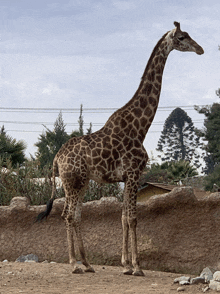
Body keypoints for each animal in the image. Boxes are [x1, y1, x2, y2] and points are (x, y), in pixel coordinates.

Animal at [37, 22, 204, 276]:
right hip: (73, 181)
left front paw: (125, 264)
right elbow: (133, 218)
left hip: (78, 182)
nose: (200, 49)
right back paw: (74, 264)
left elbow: (124, 217)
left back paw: (87, 263)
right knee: (68, 215)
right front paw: (137, 267)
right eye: (183, 37)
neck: (140, 126)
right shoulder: (135, 172)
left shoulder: (126, 177)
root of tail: (56, 158)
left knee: (76, 215)